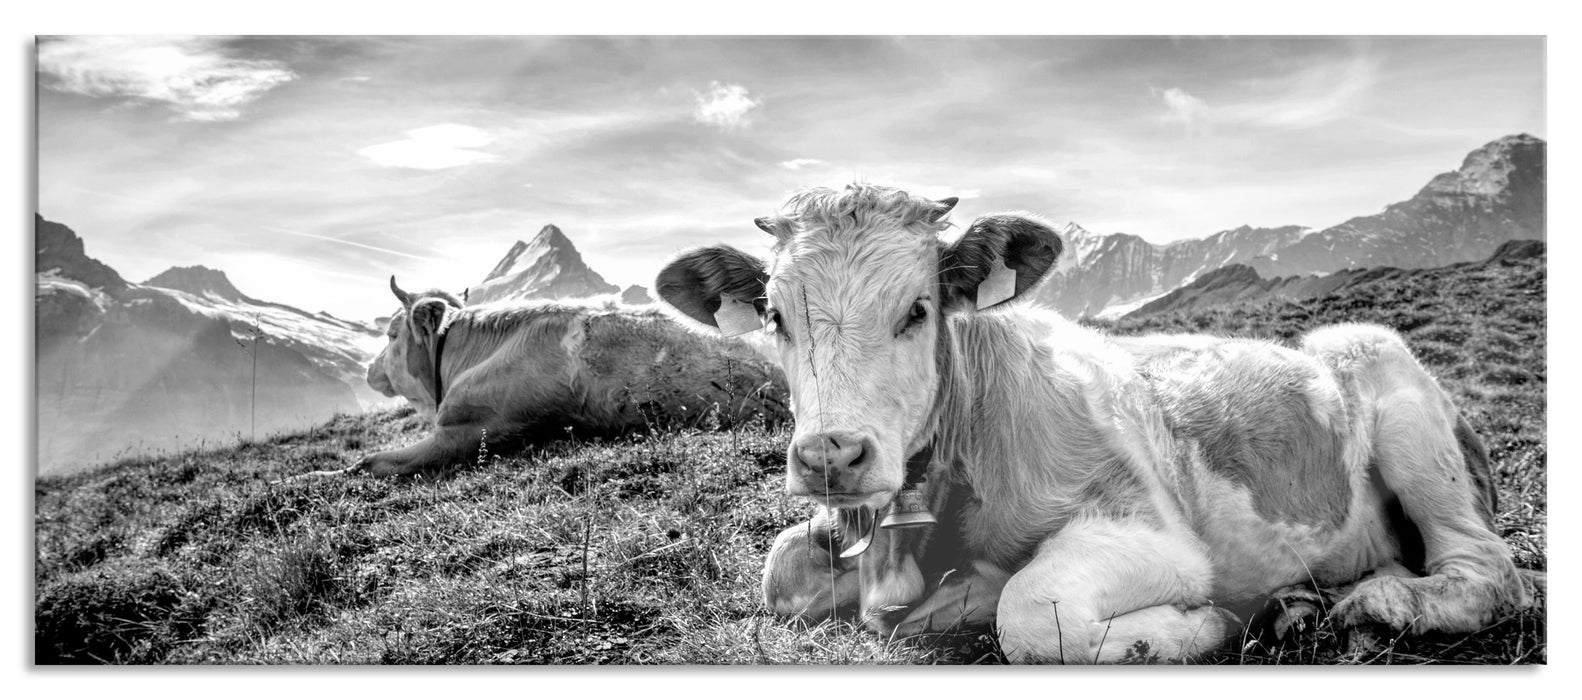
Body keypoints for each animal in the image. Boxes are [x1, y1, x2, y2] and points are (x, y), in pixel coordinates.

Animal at [654, 182, 1531, 665]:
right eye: (775, 315)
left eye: (919, 309)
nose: (832, 455)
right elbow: (780, 572)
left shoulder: (1154, 532)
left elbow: (1031, 611)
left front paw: (1206, 624)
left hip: (1391, 387)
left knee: (1487, 571)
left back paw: (1376, 604)